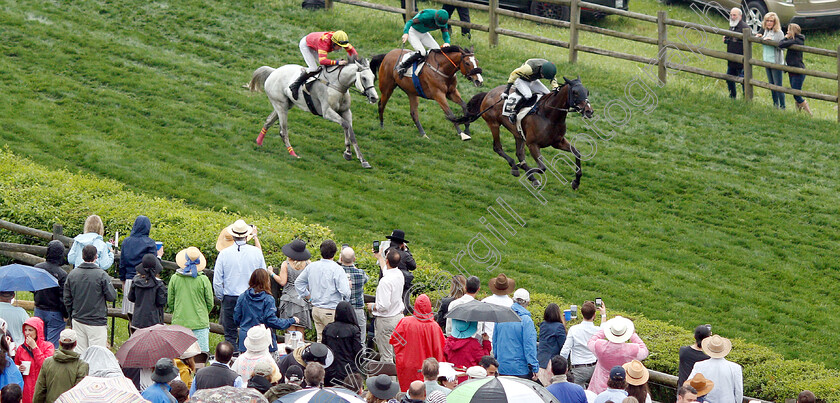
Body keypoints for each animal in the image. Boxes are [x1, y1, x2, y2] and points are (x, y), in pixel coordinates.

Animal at [248, 58, 378, 167]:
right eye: (364, 78)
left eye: (373, 77)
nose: (374, 98)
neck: (337, 85)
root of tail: (273, 72)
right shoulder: (327, 112)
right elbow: (345, 125)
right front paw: (348, 152)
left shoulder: (346, 111)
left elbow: (351, 132)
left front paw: (362, 159)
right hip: (281, 105)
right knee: (283, 131)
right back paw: (293, 154)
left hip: (285, 105)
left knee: (269, 121)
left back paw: (259, 142)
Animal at [450, 77, 592, 191]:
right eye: (575, 92)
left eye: (587, 92)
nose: (589, 111)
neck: (549, 115)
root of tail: (489, 93)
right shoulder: (532, 144)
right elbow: (542, 167)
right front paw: (526, 170)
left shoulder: (558, 142)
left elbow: (577, 153)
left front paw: (576, 182)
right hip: (494, 124)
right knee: (498, 147)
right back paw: (515, 167)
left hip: (517, 134)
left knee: (519, 153)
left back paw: (527, 173)